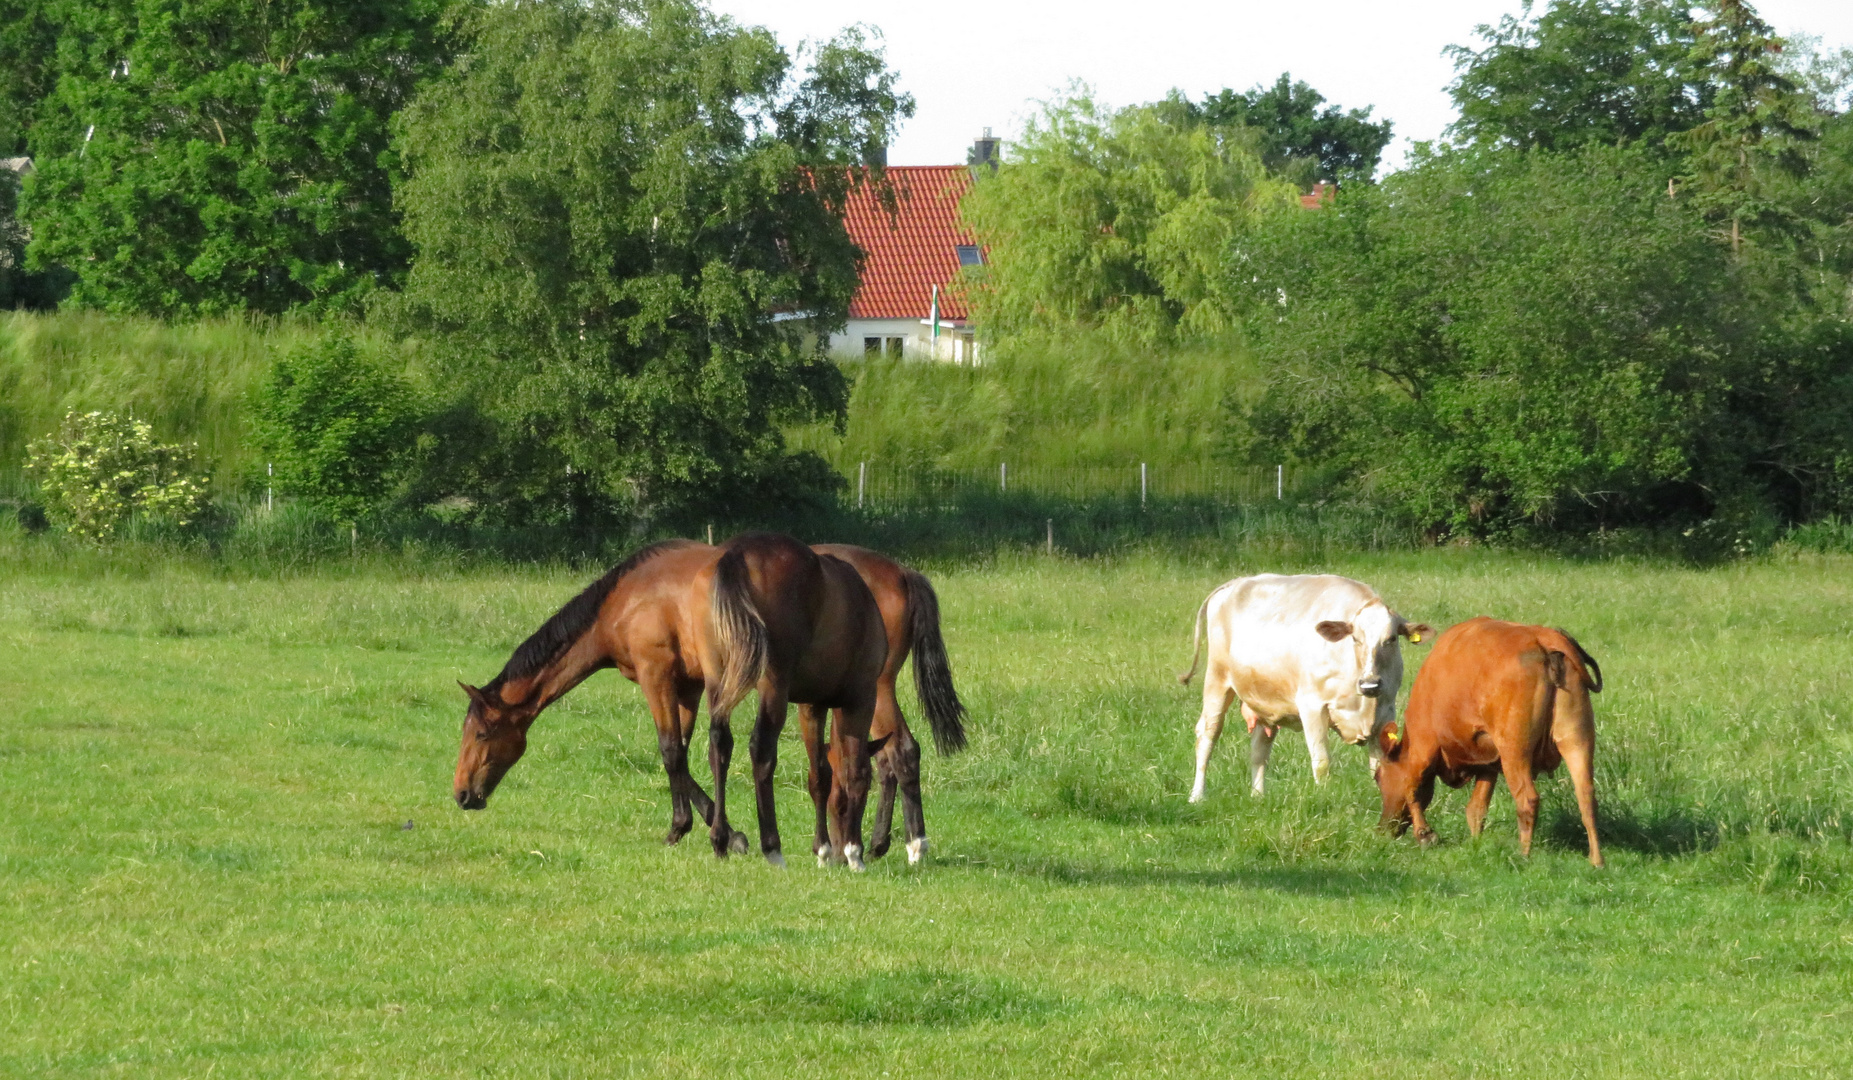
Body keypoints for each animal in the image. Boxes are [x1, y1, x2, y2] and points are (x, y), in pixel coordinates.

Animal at [446, 533, 882, 870]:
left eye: (481, 733)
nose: (462, 794)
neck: (626, 600)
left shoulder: (656, 676)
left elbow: (671, 751)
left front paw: (687, 828)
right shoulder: (689, 686)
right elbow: (688, 754)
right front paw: (723, 832)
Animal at [800, 544, 970, 866]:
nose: (839, 853)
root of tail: (902, 573)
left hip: (878, 689)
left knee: (901, 750)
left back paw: (914, 844)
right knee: (888, 758)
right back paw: (882, 842)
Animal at [1178, 574, 1423, 803]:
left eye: (1391, 639)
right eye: (1355, 638)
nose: (1370, 684)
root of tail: (1237, 582)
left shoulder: (1386, 710)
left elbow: (1379, 765)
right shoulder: (1311, 705)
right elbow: (1322, 761)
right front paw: (1325, 797)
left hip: (1264, 699)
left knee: (1259, 749)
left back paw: (1258, 796)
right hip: (1217, 680)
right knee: (1208, 734)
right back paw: (1197, 795)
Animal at [1378, 622, 1608, 866]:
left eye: (1378, 778)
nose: (1382, 829)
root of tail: (1544, 636)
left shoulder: (1424, 745)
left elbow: (1412, 789)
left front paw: (1425, 835)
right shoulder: (1488, 764)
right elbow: (1476, 808)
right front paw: (1476, 844)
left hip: (1515, 750)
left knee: (1528, 800)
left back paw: (1523, 856)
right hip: (1577, 738)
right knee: (1586, 796)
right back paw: (1596, 860)